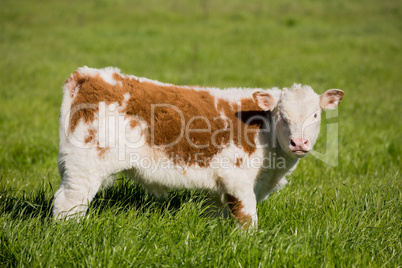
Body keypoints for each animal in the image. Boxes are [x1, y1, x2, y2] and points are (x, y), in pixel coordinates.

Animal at [51, 66, 344, 226]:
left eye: (315, 115)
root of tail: (88, 75)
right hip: (83, 167)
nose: (299, 142)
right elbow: (248, 218)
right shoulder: (238, 179)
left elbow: (216, 215)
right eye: (282, 116)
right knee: (68, 205)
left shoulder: (220, 187)